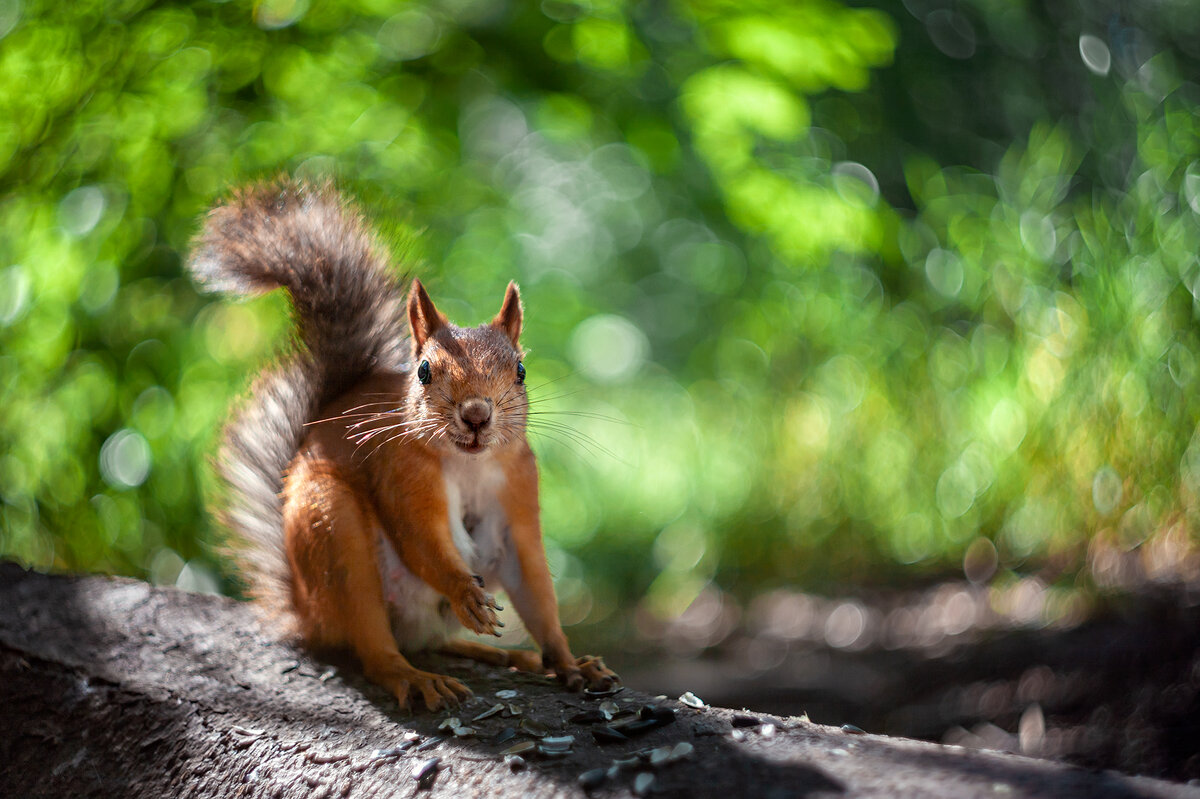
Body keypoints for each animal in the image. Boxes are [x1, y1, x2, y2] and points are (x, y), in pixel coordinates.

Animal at [189, 182, 619, 710]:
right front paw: (464, 591)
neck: (469, 464)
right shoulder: (401, 474)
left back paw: (507, 655)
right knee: (375, 644)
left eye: (520, 371)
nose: (477, 415)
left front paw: (569, 661)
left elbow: (536, 592)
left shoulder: (519, 490)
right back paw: (413, 677)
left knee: (431, 641)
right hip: (333, 535)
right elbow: (420, 541)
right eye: (424, 371)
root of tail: (306, 614)